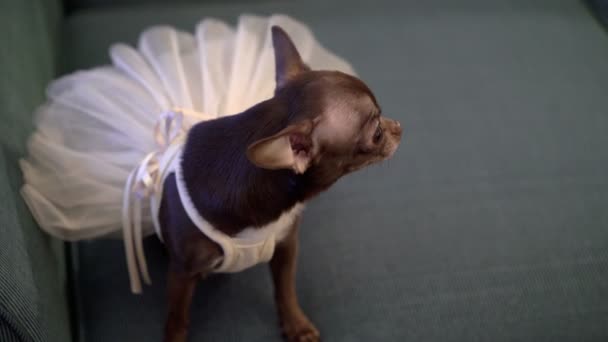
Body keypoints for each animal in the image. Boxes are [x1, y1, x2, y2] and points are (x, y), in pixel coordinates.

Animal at [159, 26, 402, 342]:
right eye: (376, 133)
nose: (399, 127)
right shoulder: (181, 271)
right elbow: (177, 317)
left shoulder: (286, 245)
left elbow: (285, 290)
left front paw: (296, 325)